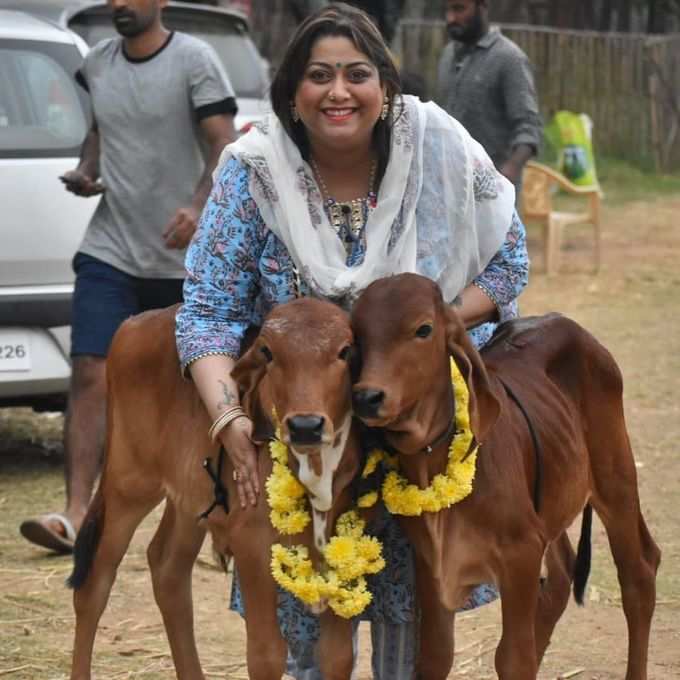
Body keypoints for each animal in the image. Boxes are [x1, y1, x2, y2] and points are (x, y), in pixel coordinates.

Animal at [70, 300, 362, 680]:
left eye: (345, 351)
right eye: (268, 352)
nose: (305, 426)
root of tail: (132, 324)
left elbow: (338, 655)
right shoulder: (252, 544)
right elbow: (266, 654)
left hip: (189, 498)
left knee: (167, 568)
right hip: (127, 485)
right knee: (94, 583)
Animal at [350, 274, 660, 680]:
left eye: (423, 329)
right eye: (357, 334)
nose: (367, 397)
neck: (431, 459)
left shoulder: (520, 555)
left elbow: (513, 658)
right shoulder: (432, 563)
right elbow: (435, 656)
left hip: (615, 476)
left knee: (639, 571)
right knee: (562, 575)